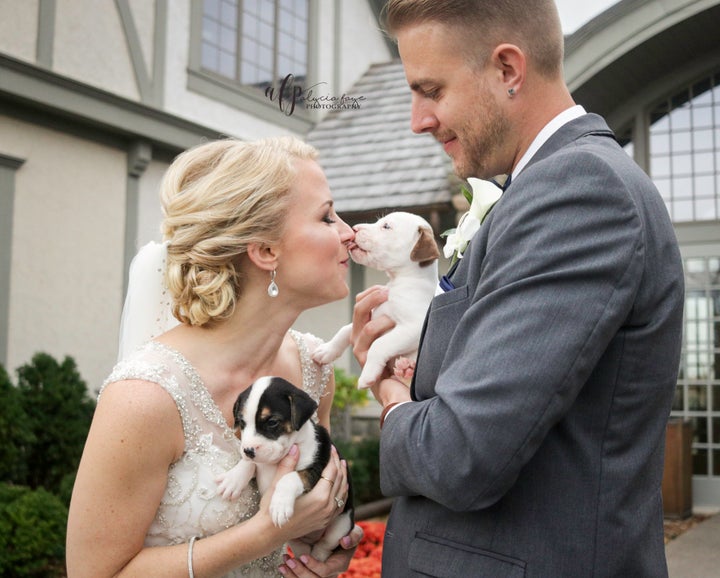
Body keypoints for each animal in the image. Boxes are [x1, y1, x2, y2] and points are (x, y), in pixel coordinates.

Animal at [215, 376, 352, 560]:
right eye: (242, 422)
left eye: (272, 422)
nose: (248, 451)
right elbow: (249, 463)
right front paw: (233, 480)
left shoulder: (316, 469)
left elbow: (289, 477)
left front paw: (279, 505)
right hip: (295, 540)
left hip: (342, 525)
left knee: (324, 546)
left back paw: (315, 557)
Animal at [314, 210, 438, 388]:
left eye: (386, 226)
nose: (354, 228)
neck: (399, 282)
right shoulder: (371, 315)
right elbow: (345, 330)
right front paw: (326, 350)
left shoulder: (414, 326)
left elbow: (378, 345)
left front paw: (368, 375)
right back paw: (405, 369)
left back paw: (407, 370)